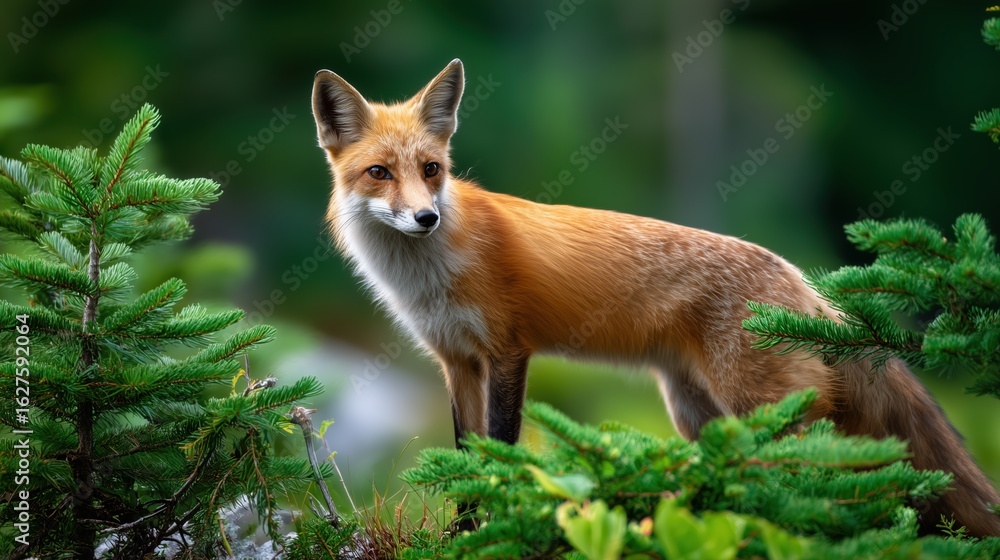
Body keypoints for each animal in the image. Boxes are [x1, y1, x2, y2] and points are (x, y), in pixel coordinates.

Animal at [311, 59, 1000, 536]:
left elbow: (501, 449)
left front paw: (497, 522)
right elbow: (466, 456)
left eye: (432, 170)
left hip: (760, 409)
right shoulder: (455, 361)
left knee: (829, 480)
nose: (425, 217)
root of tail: (803, 282)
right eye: (379, 173)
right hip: (696, 412)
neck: (429, 273)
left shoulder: (508, 351)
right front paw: (465, 529)